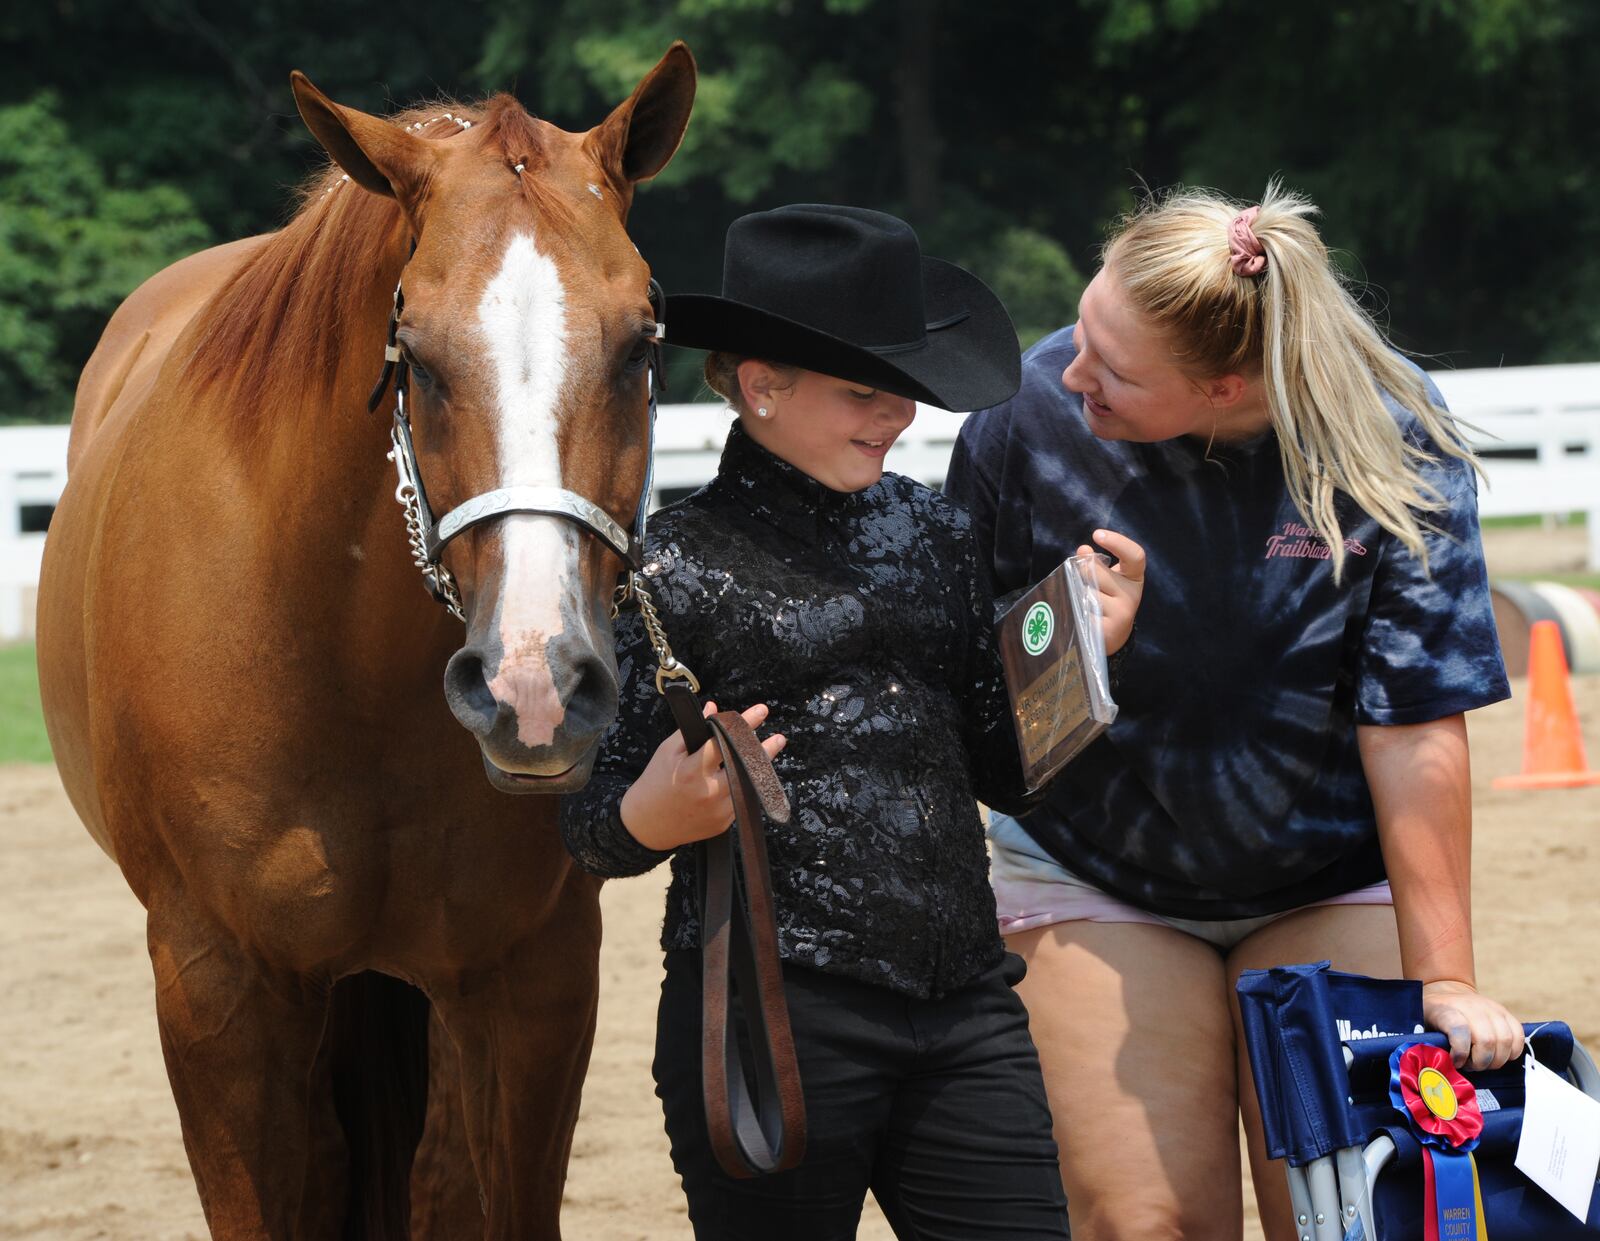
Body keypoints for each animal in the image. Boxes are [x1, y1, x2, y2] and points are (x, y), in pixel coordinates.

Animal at [36, 43, 694, 1234]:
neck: (338, 662)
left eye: (640, 342)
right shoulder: (217, 987)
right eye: (416, 353)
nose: (534, 688)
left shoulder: (532, 976)